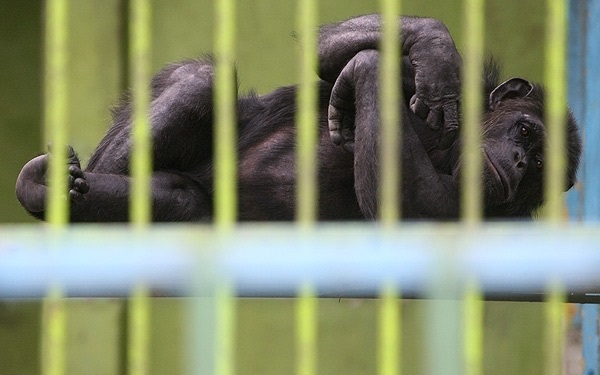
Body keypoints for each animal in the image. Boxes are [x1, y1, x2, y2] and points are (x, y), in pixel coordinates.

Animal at [16, 15, 580, 223]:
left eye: (539, 166)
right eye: (525, 131)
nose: (518, 159)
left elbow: (413, 204)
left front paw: (365, 70)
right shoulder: (458, 91)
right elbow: (329, 50)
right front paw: (433, 50)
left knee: (180, 198)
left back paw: (49, 190)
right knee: (201, 79)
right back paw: (61, 184)